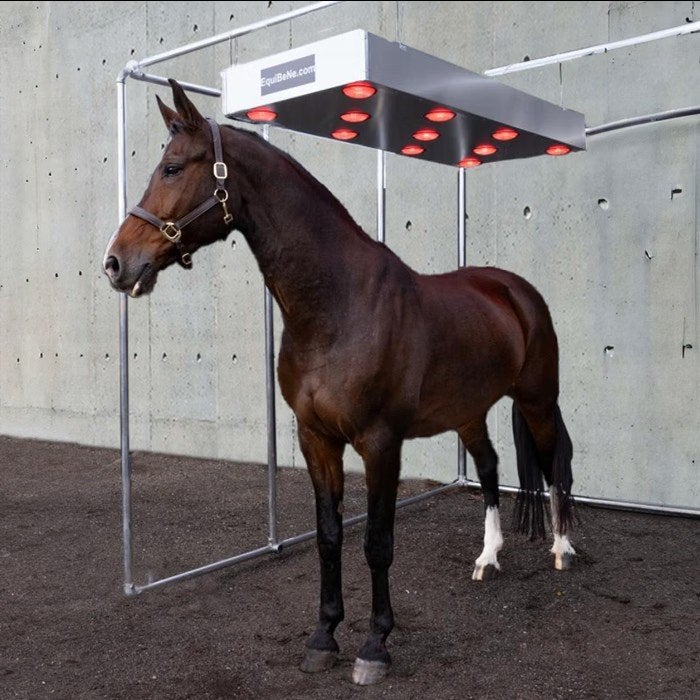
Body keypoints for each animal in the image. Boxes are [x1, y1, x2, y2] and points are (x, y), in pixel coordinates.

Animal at [103, 79, 576, 686]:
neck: (339, 308)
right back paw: (487, 558)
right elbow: (330, 537)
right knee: (492, 468)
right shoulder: (316, 439)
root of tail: (516, 289)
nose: (116, 263)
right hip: (468, 410)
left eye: (172, 167)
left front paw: (375, 646)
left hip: (538, 399)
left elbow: (377, 542)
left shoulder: (380, 443)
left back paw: (562, 550)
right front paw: (323, 637)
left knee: (553, 461)